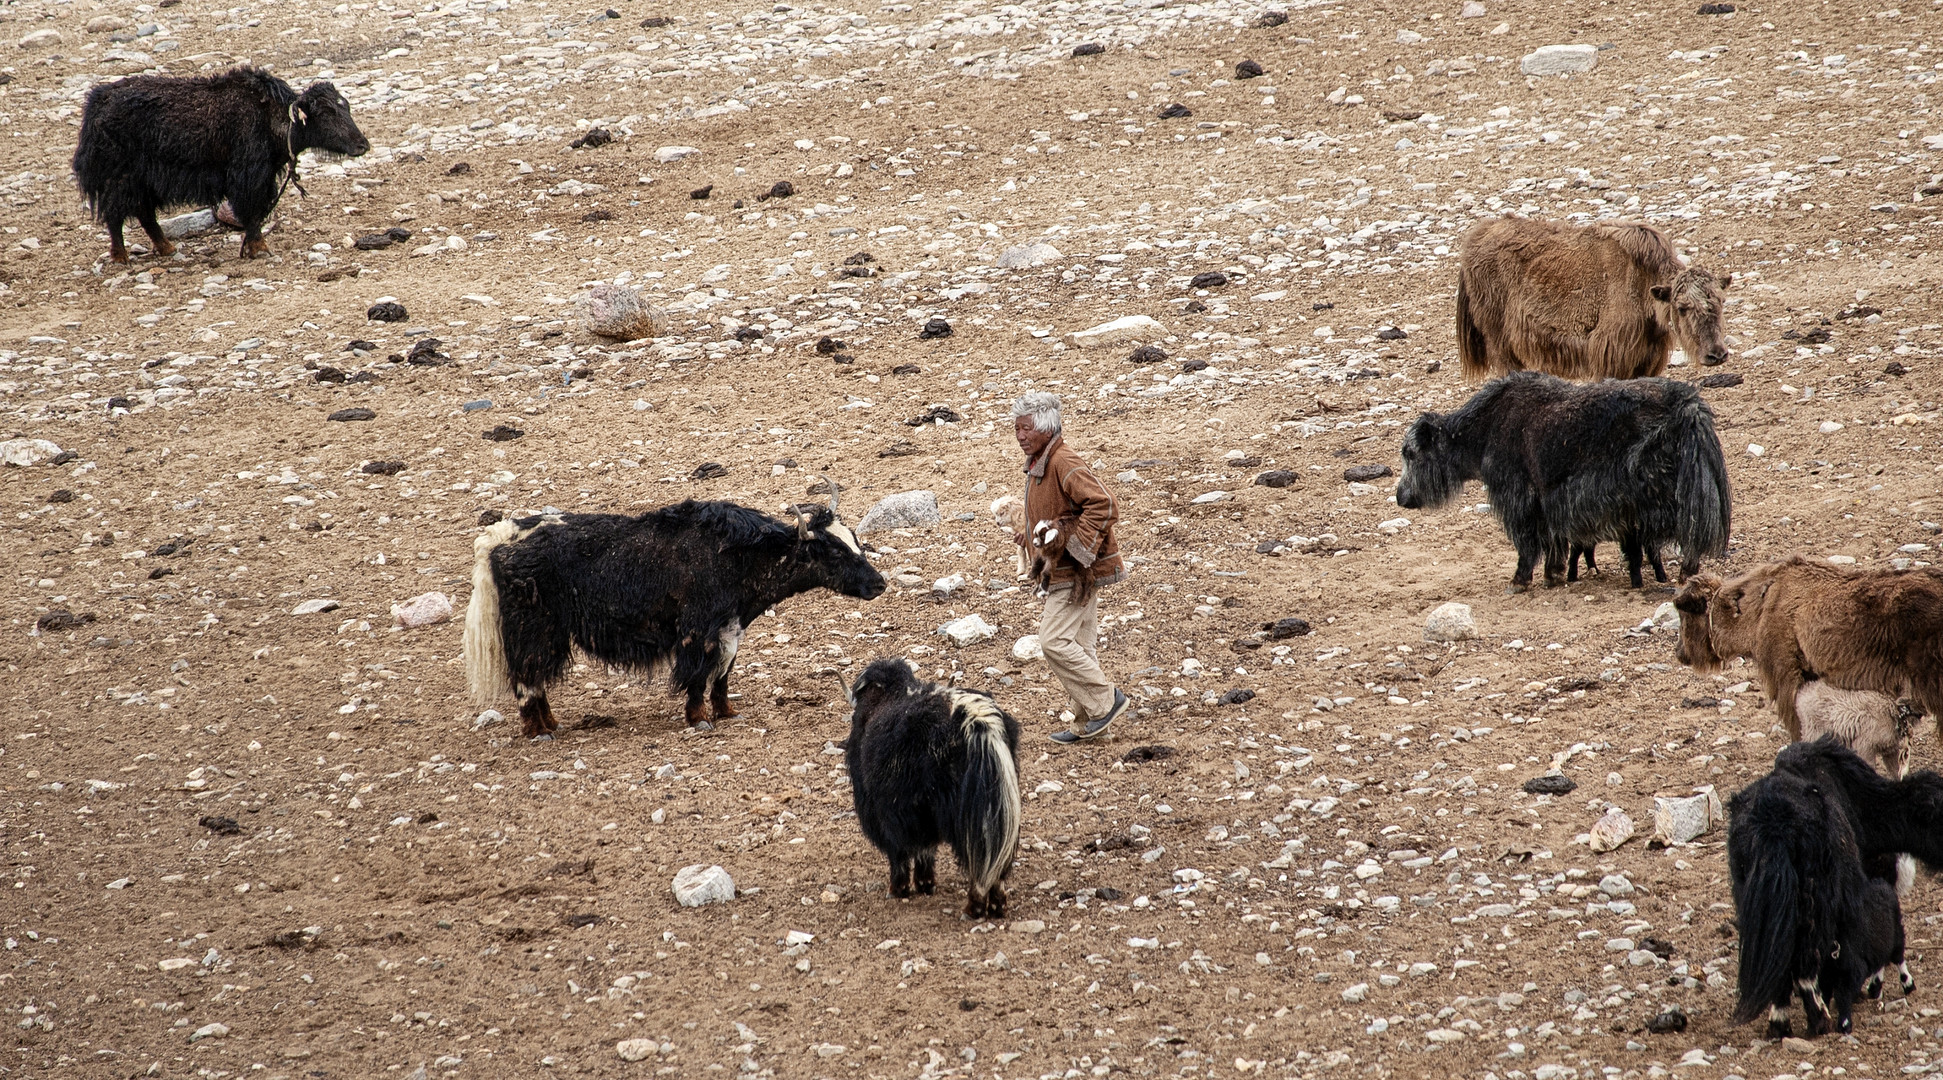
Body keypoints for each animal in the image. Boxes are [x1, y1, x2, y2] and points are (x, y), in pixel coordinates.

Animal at [73, 67, 369, 262]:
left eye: (346, 107)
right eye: (326, 113)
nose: (362, 145)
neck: (271, 117)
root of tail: (96, 104)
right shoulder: (248, 177)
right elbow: (251, 212)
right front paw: (261, 249)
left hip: (143, 181)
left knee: (144, 213)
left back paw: (167, 248)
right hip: (120, 177)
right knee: (116, 214)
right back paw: (121, 257)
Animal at [1398, 371, 1733, 590]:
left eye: (1410, 454)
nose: (1401, 497)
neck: (1484, 430)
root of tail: (1689, 406)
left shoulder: (1518, 496)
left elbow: (1528, 540)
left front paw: (1519, 581)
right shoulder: (1549, 498)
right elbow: (1554, 540)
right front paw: (1553, 574)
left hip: (1660, 485)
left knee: (1687, 527)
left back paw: (1682, 575)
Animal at [1461, 215, 1733, 378]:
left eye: (1720, 301)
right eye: (1682, 307)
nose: (1717, 354)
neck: (1642, 284)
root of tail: (1476, 237)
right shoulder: (1609, 356)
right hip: (1499, 339)